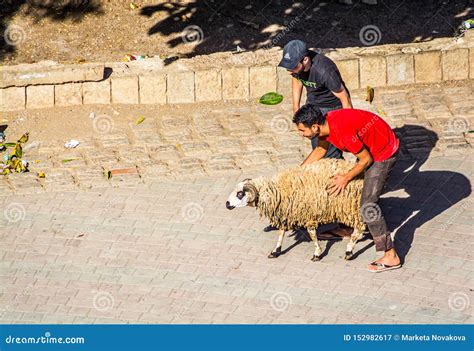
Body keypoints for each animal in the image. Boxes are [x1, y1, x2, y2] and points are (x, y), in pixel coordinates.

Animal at [226, 159, 366, 262]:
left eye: (240, 194)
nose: (227, 204)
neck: (278, 190)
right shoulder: (285, 212)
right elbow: (281, 232)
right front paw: (276, 251)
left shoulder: (308, 213)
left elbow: (311, 233)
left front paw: (317, 253)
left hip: (352, 208)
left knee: (359, 227)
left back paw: (349, 251)